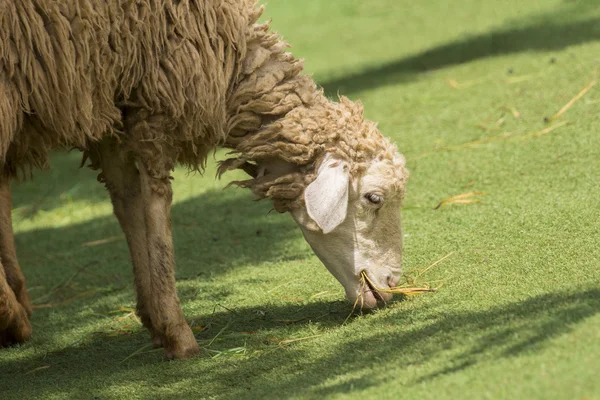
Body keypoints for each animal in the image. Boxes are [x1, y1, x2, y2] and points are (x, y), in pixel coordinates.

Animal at [0, 0, 408, 360]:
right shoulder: (156, 97)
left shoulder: (111, 105)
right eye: (374, 198)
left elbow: (126, 202)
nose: (393, 283)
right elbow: (155, 202)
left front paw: (153, 319)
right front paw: (177, 333)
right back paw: (14, 317)